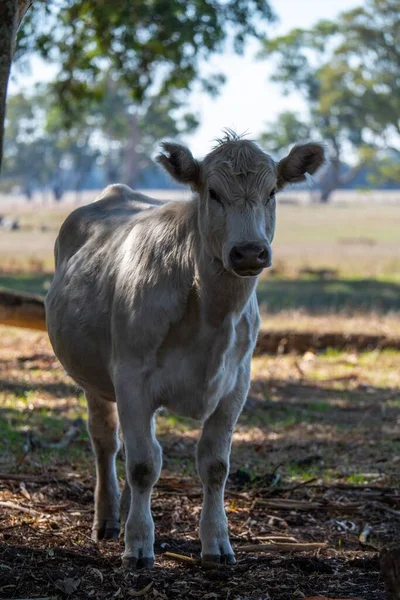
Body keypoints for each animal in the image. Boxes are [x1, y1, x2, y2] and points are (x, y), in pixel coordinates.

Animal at [45, 131, 324, 568]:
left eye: (272, 191)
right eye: (213, 192)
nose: (249, 251)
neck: (211, 317)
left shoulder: (235, 385)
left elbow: (214, 465)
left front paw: (217, 543)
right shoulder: (131, 378)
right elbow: (143, 465)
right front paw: (138, 546)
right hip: (95, 380)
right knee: (107, 443)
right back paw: (108, 521)